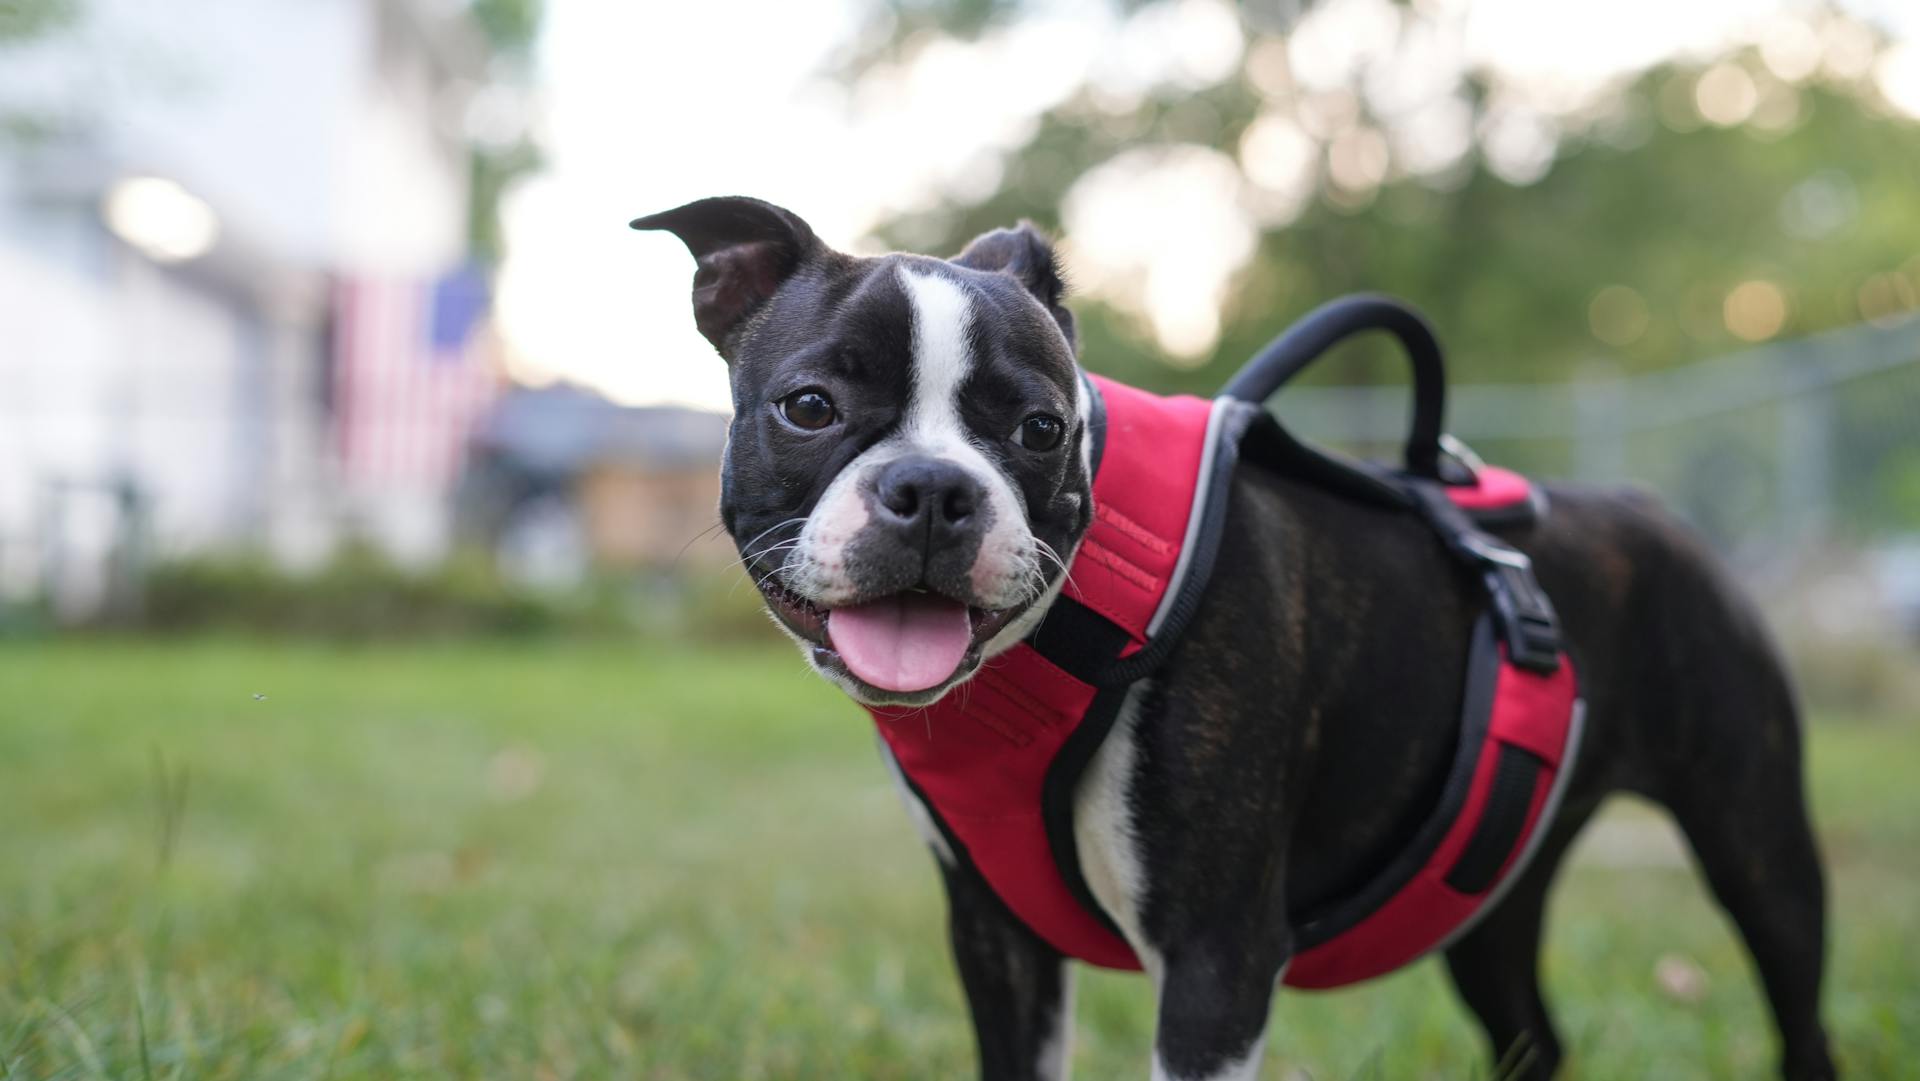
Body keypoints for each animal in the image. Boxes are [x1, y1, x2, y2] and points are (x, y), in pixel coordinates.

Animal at [629, 196, 1827, 1081]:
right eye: (811, 407)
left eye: (1041, 428)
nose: (932, 489)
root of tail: (1649, 507)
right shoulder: (996, 940)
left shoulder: (1214, 959)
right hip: (1492, 892)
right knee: (1533, 1032)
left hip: (1758, 844)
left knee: (1796, 1005)